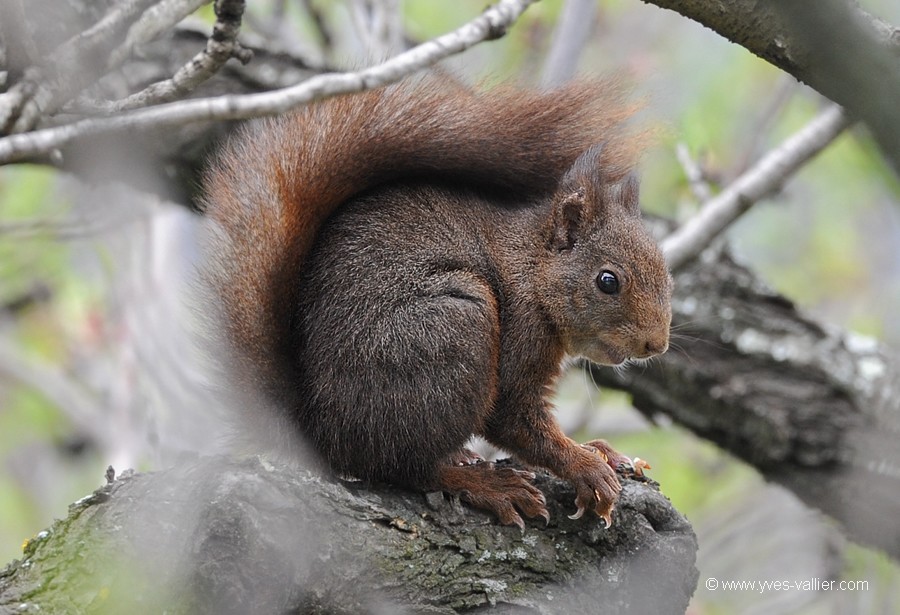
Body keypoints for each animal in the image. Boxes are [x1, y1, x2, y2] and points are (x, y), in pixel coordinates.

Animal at [200, 77, 672, 528]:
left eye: (666, 272)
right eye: (607, 281)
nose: (656, 345)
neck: (533, 273)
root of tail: (318, 430)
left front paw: (602, 451)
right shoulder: (520, 333)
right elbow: (514, 419)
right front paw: (584, 465)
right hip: (454, 329)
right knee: (401, 467)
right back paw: (483, 484)